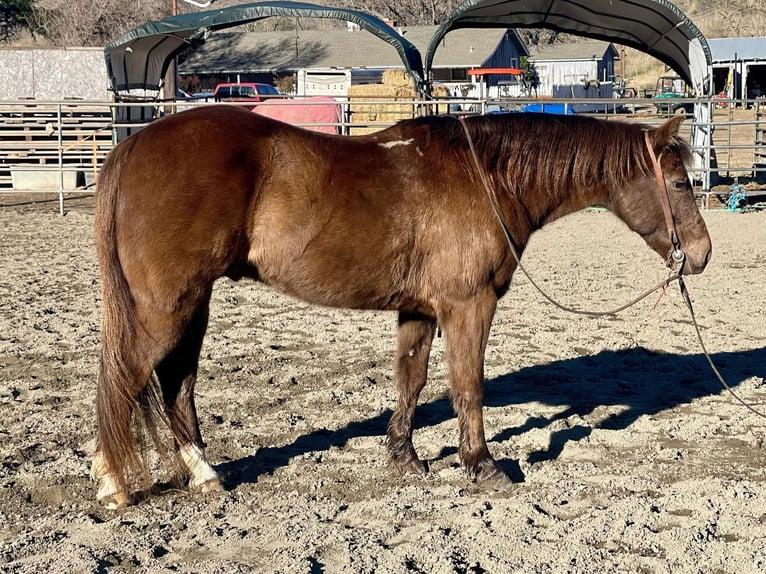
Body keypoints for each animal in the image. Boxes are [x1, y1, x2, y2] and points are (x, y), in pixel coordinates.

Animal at [91, 104, 712, 508]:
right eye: (681, 182)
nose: (702, 254)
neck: (486, 176)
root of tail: (133, 145)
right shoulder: (468, 305)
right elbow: (468, 384)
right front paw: (481, 465)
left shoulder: (421, 310)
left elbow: (411, 379)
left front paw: (404, 458)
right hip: (165, 309)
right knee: (126, 379)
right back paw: (115, 485)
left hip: (191, 306)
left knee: (177, 383)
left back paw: (203, 474)